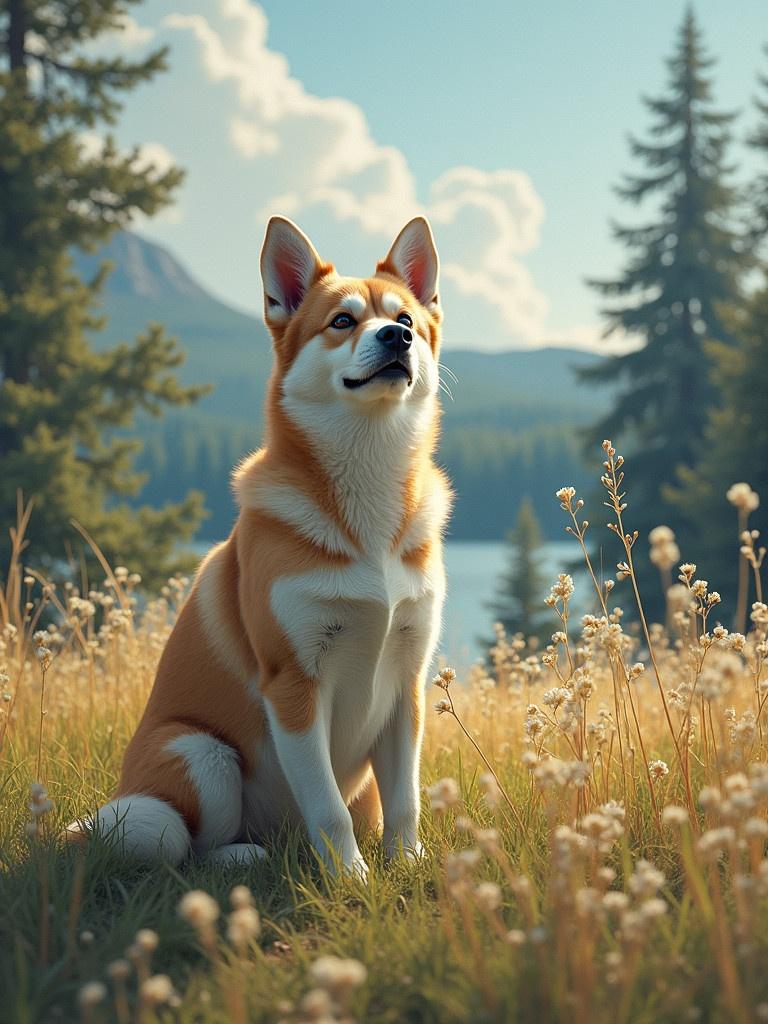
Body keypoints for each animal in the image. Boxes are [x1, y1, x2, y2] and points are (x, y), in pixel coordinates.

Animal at [69, 216, 454, 880]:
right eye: (343, 321)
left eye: (404, 318)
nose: (397, 338)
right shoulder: (293, 682)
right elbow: (327, 808)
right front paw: (351, 881)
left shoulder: (407, 681)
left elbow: (404, 801)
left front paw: (406, 867)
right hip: (200, 757)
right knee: (187, 847)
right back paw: (244, 857)